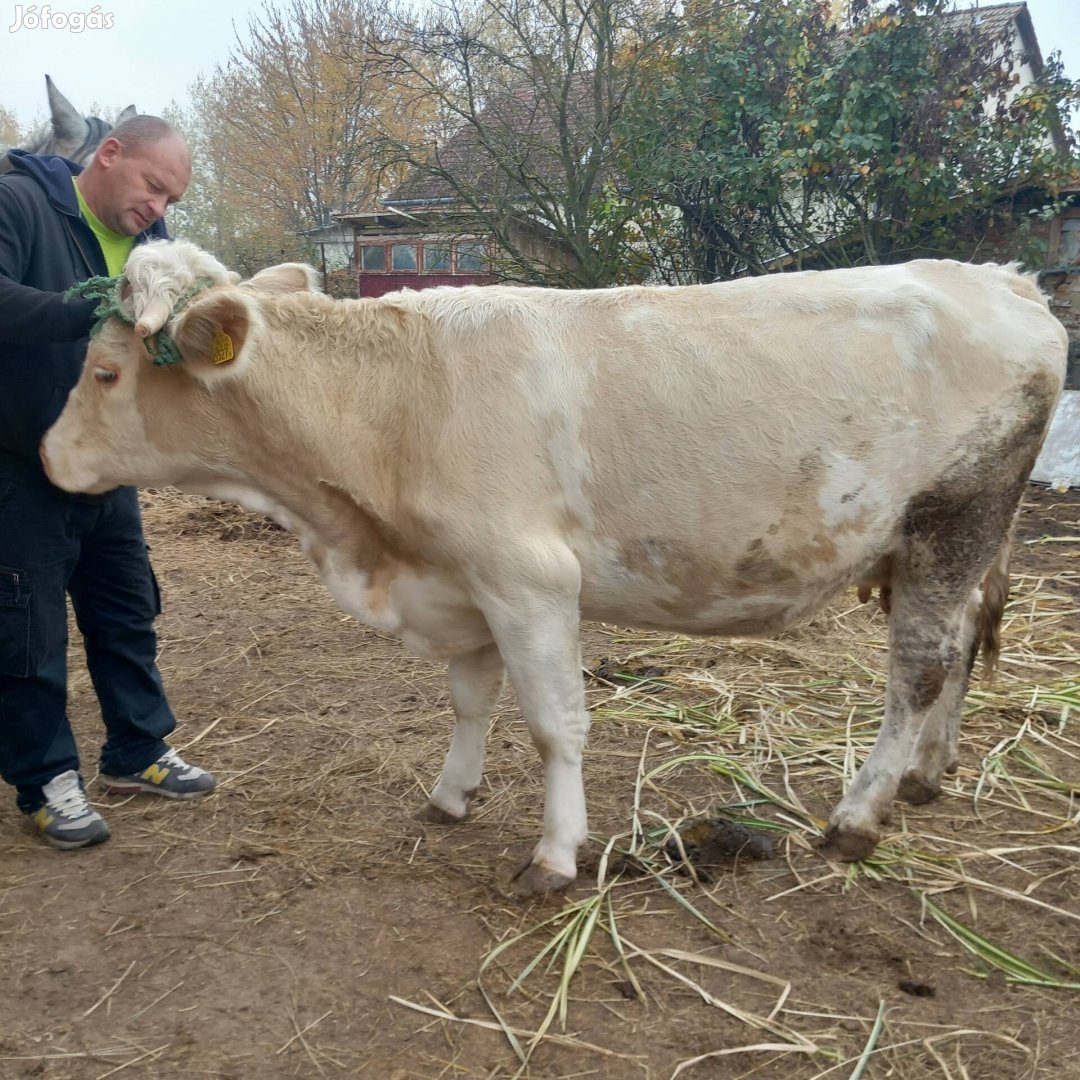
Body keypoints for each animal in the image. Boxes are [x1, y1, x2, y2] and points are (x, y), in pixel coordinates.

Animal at [39, 243, 1062, 894]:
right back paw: (927, 775)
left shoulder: (527, 579)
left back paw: (856, 816)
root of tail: (1002, 280)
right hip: (959, 545)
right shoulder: (464, 579)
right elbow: (469, 701)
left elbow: (553, 726)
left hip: (952, 520)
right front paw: (450, 795)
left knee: (919, 670)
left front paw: (556, 854)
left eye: (104, 373)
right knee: (959, 649)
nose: (46, 456)